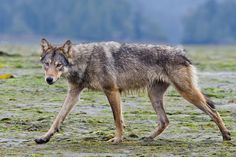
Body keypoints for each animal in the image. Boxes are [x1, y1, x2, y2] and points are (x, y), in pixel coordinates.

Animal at [34, 38, 230, 144]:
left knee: (213, 111)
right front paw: (44, 137)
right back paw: (148, 138)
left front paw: (117, 139)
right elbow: (58, 118)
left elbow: (117, 120)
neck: (86, 60)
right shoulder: (74, 93)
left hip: (187, 93)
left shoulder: (112, 91)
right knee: (165, 121)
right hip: (153, 95)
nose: (49, 80)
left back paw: (226, 135)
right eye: (47, 65)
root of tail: (182, 53)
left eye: (58, 65)